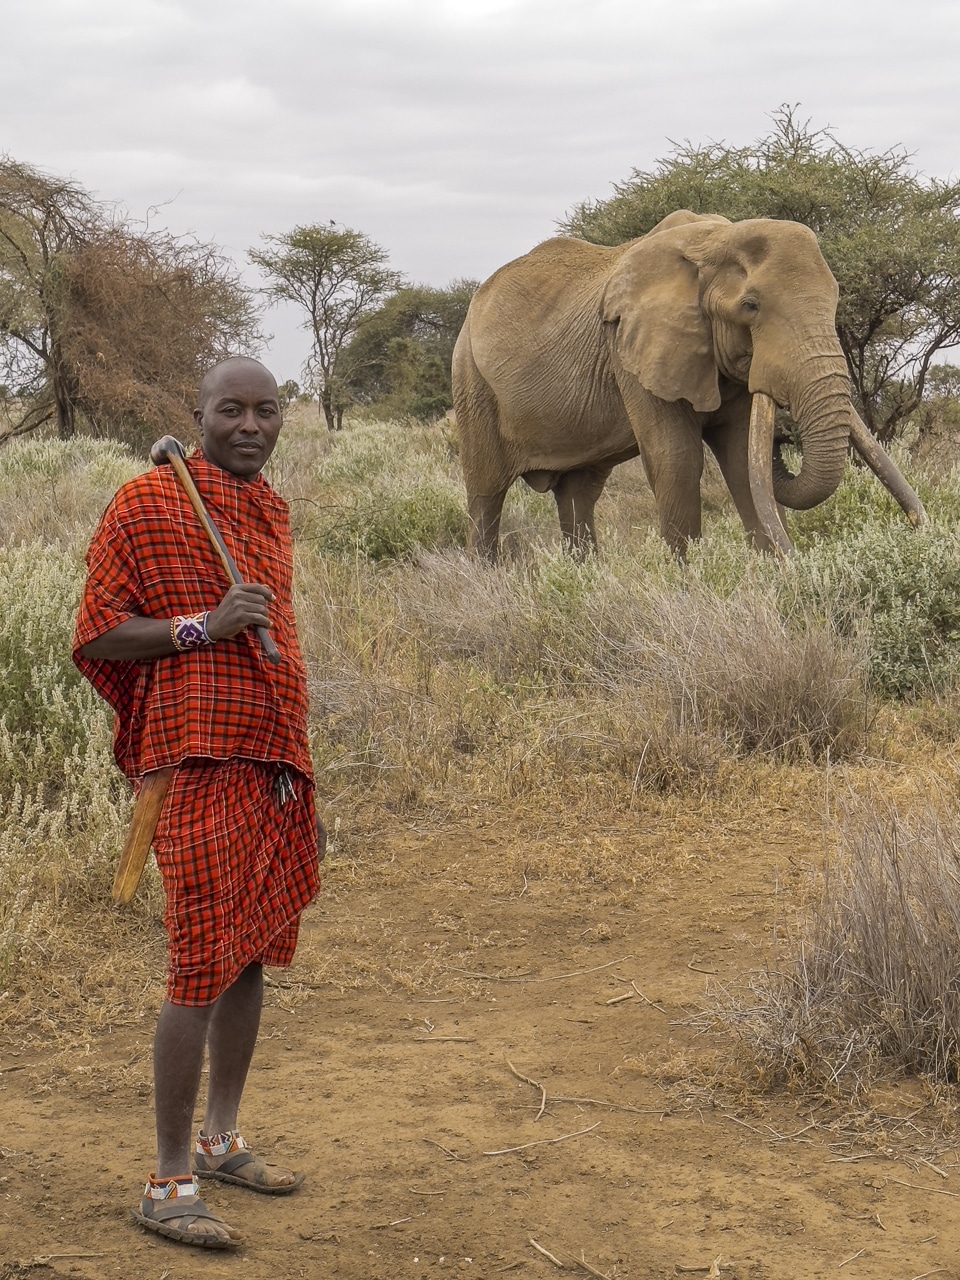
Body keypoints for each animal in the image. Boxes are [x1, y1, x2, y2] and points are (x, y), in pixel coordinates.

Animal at [455, 209, 926, 555]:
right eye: (751, 306)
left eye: (836, 298)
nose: (917, 527)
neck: (713, 241)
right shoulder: (630, 348)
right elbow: (677, 459)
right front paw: (690, 579)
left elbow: (740, 458)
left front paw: (775, 573)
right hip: (471, 381)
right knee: (486, 495)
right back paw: (485, 578)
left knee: (578, 494)